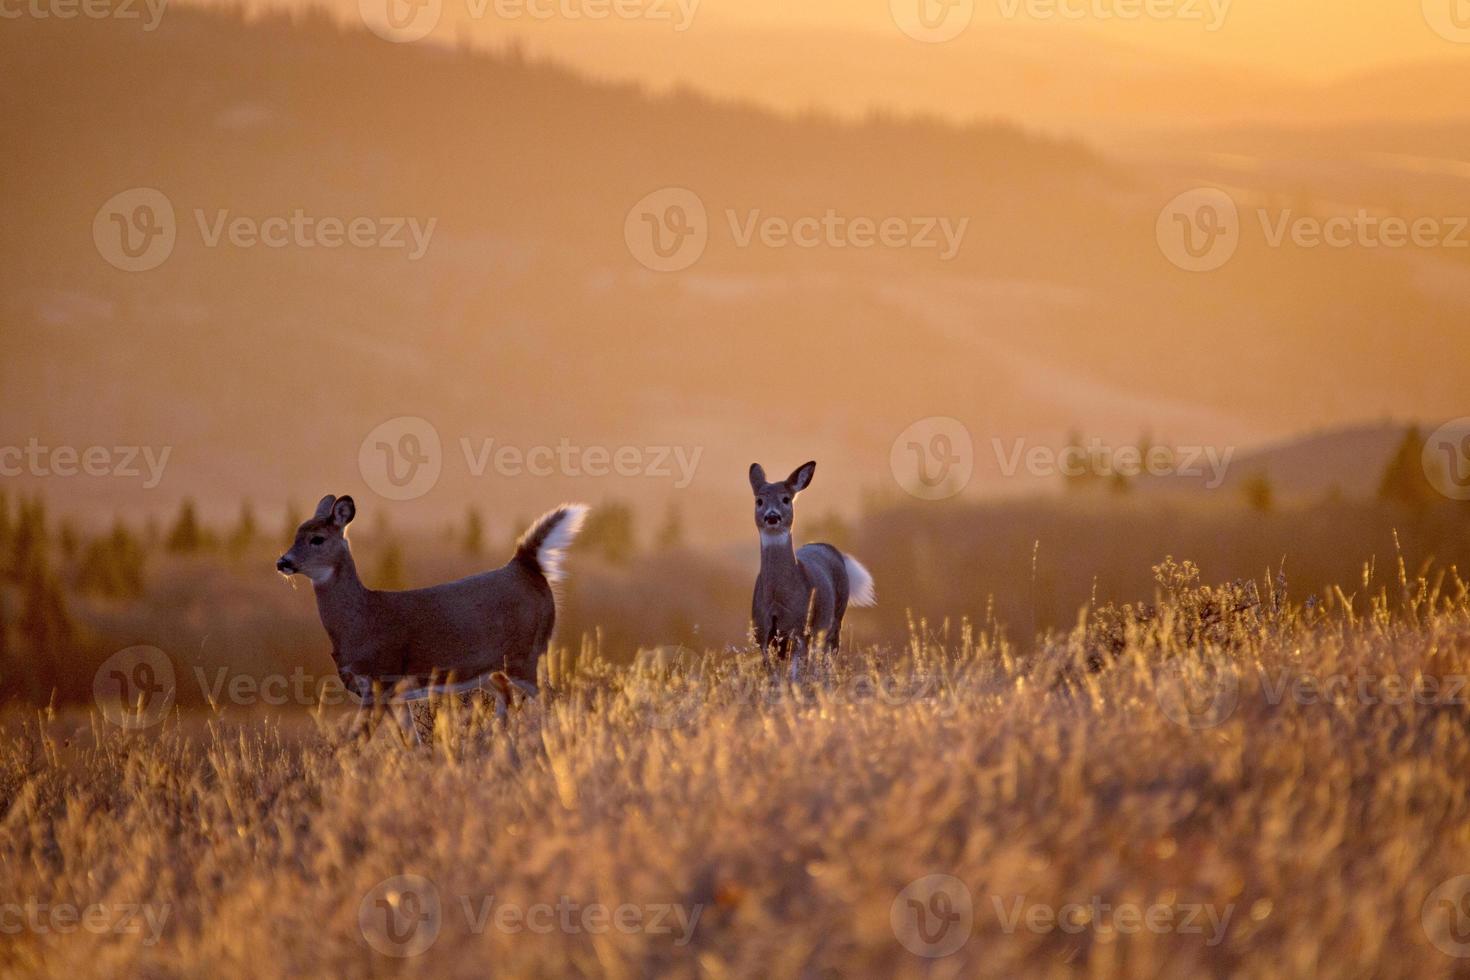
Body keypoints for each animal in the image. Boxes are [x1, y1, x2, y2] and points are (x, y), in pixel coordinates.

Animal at [276, 499, 585, 714]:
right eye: (295, 535)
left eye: (317, 538)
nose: (283, 562)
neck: (362, 618)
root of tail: (525, 565)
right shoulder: (390, 694)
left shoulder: (380, 680)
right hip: (491, 670)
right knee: (507, 697)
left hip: (525, 653)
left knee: (553, 698)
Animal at [746, 461, 870, 675]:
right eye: (759, 501)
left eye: (786, 499)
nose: (772, 517)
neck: (778, 599)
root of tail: (827, 547)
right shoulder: (762, 633)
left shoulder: (800, 630)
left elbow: (795, 672)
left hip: (836, 618)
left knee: (828, 655)